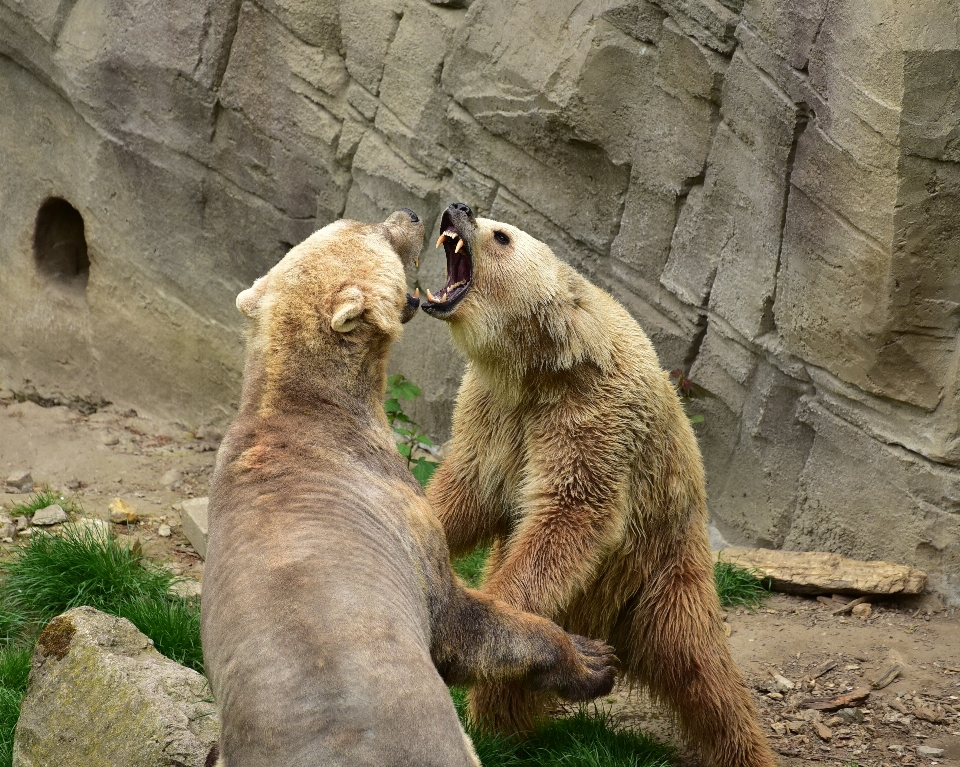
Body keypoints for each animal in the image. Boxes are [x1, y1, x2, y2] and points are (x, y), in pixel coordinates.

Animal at [203, 208, 620, 767]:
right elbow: (459, 625)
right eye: (374, 230)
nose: (412, 214)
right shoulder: (396, 511)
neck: (302, 412)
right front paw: (591, 657)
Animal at [422, 202, 780, 767]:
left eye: (501, 235)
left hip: (662, 572)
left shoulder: (592, 418)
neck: (538, 367)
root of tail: (613, 625)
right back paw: (505, 729)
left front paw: (493, 602)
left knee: (704, 677)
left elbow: (571, 513)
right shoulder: (493, 413)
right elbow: (469, 490)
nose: (457, 207)